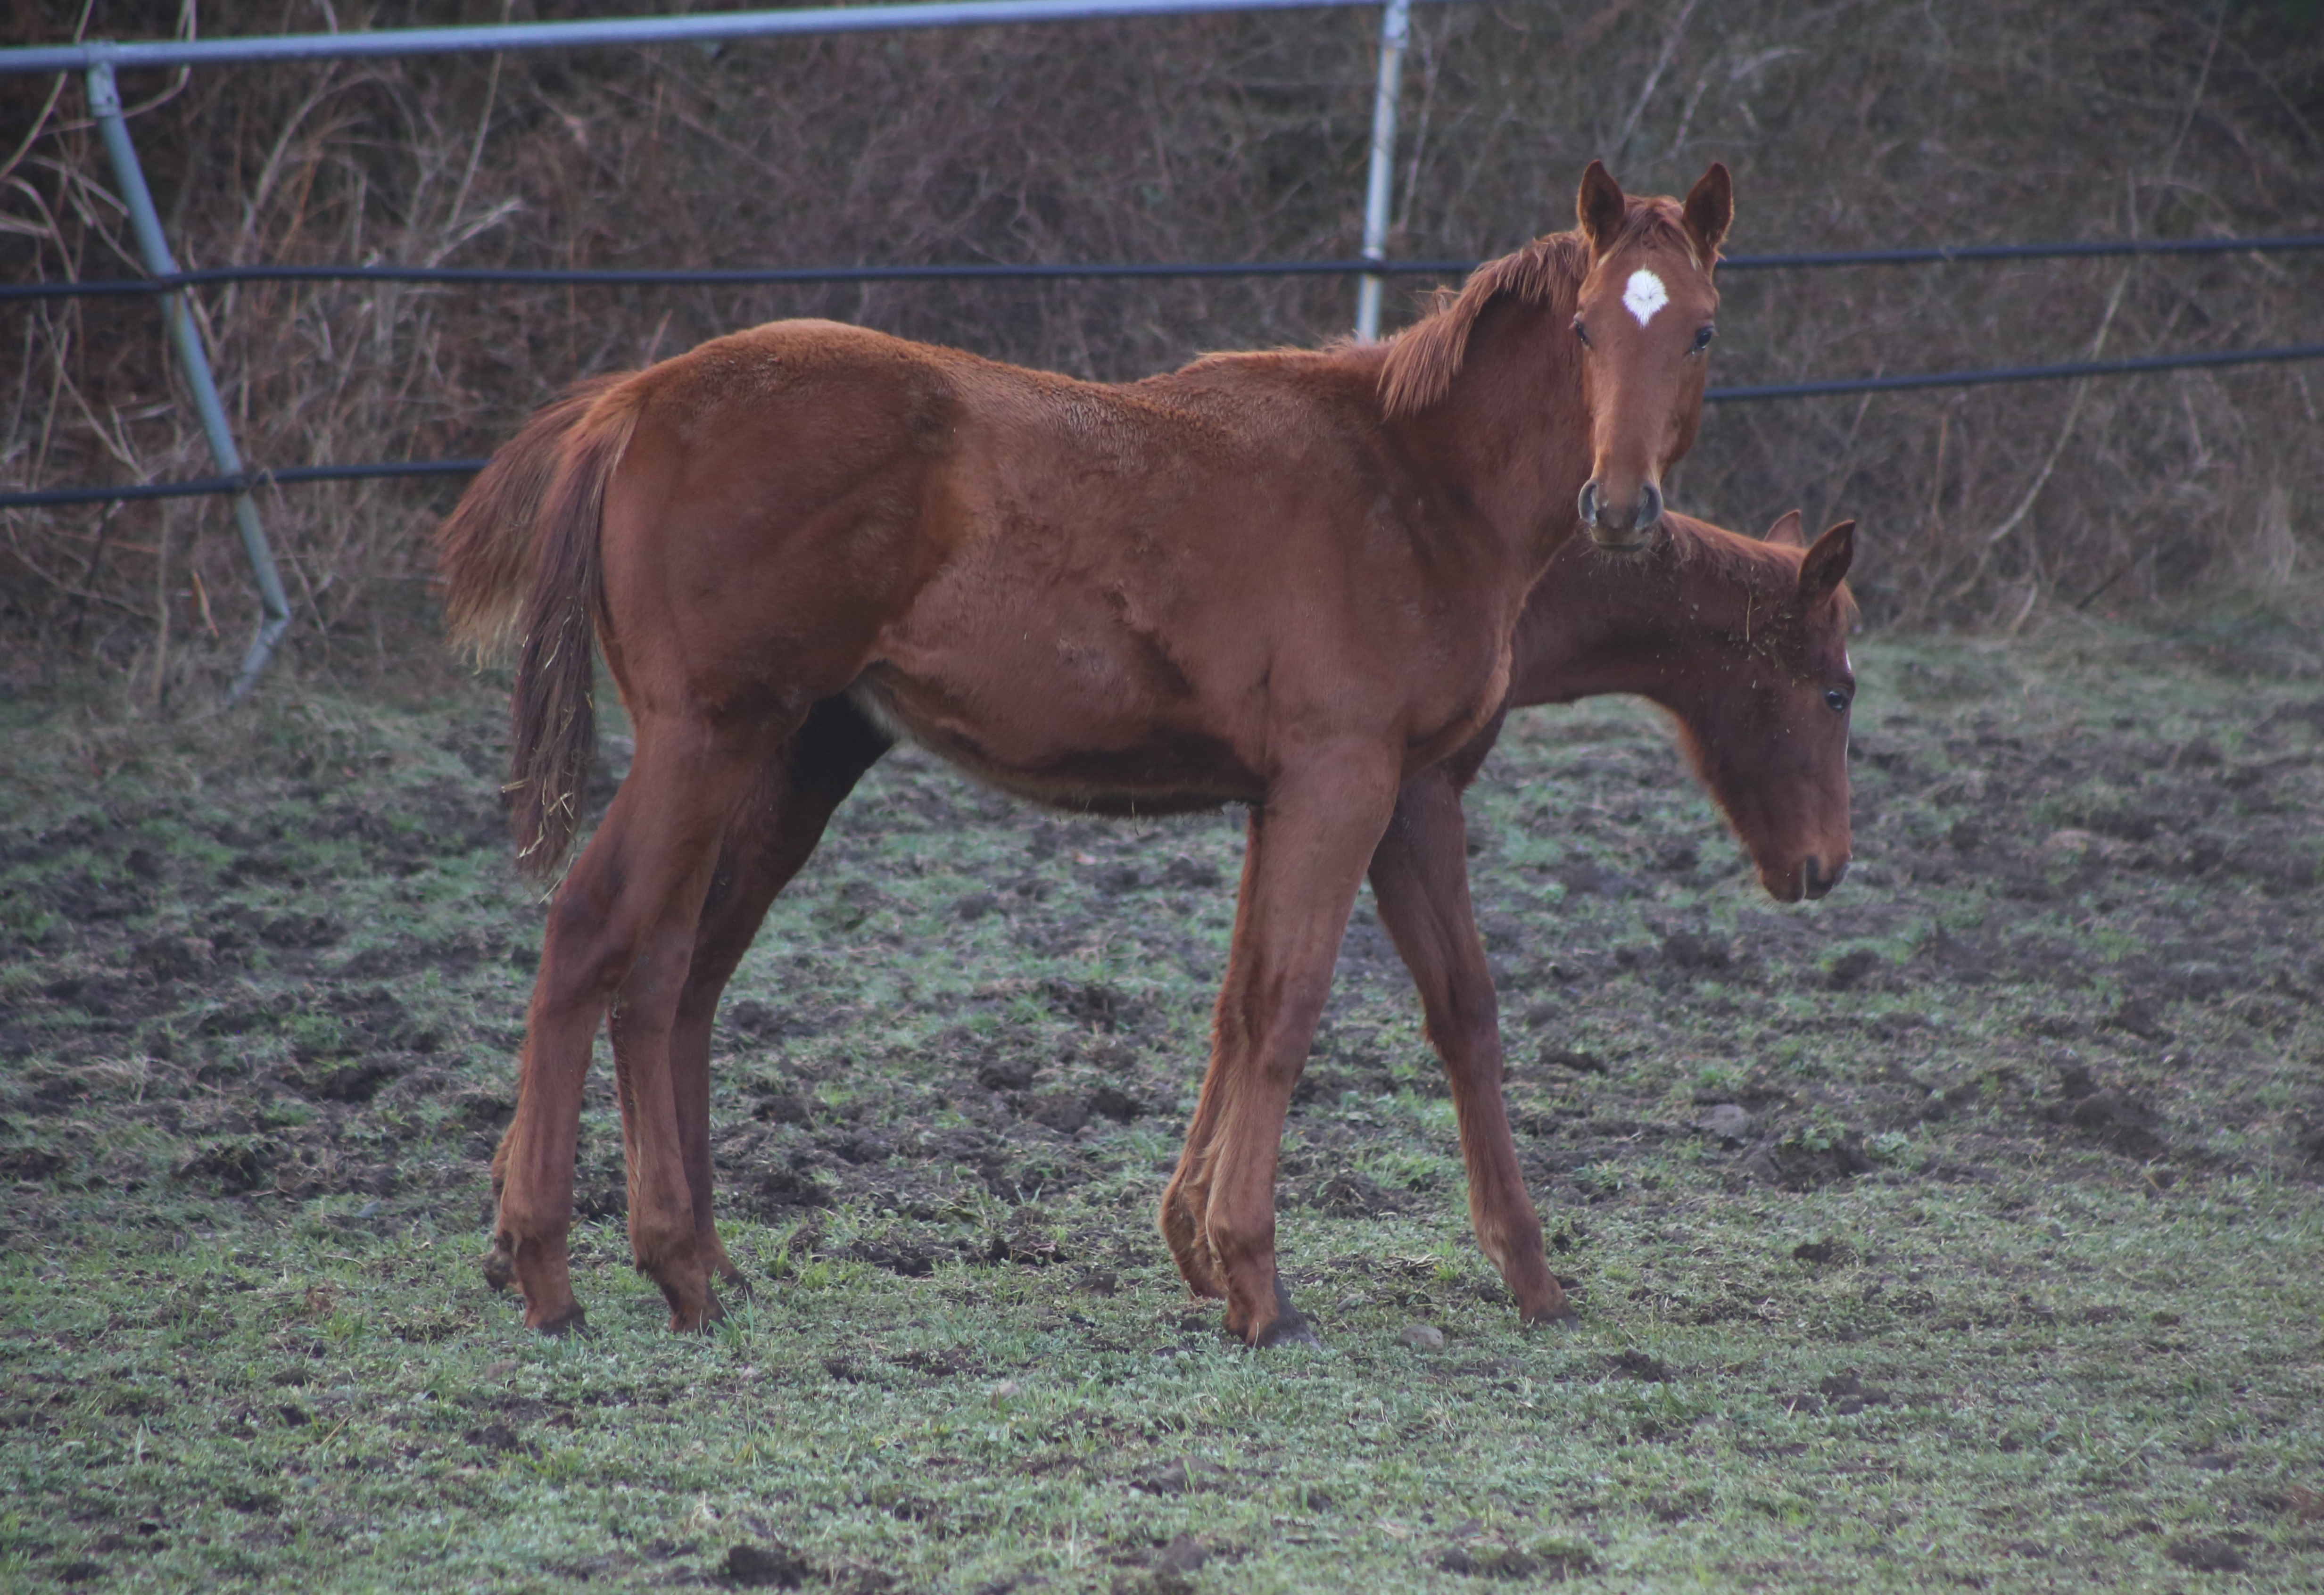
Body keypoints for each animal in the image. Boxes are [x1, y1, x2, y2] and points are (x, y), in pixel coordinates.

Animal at [437, 163, 1757, 1339]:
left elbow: (1422, 1009)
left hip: (753, 752)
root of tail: (636, 402)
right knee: (593, 935)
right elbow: (1288, 1003)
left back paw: (676, 1263)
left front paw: (1526, 1279)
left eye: (1698, 332)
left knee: (664, 969)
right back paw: (556, 1268)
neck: (1416, 483)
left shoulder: (1389, 792)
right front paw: (1257, 1283)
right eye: (1584, 327)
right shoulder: (1345, 778)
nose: (1621, 507)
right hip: (705, 739)